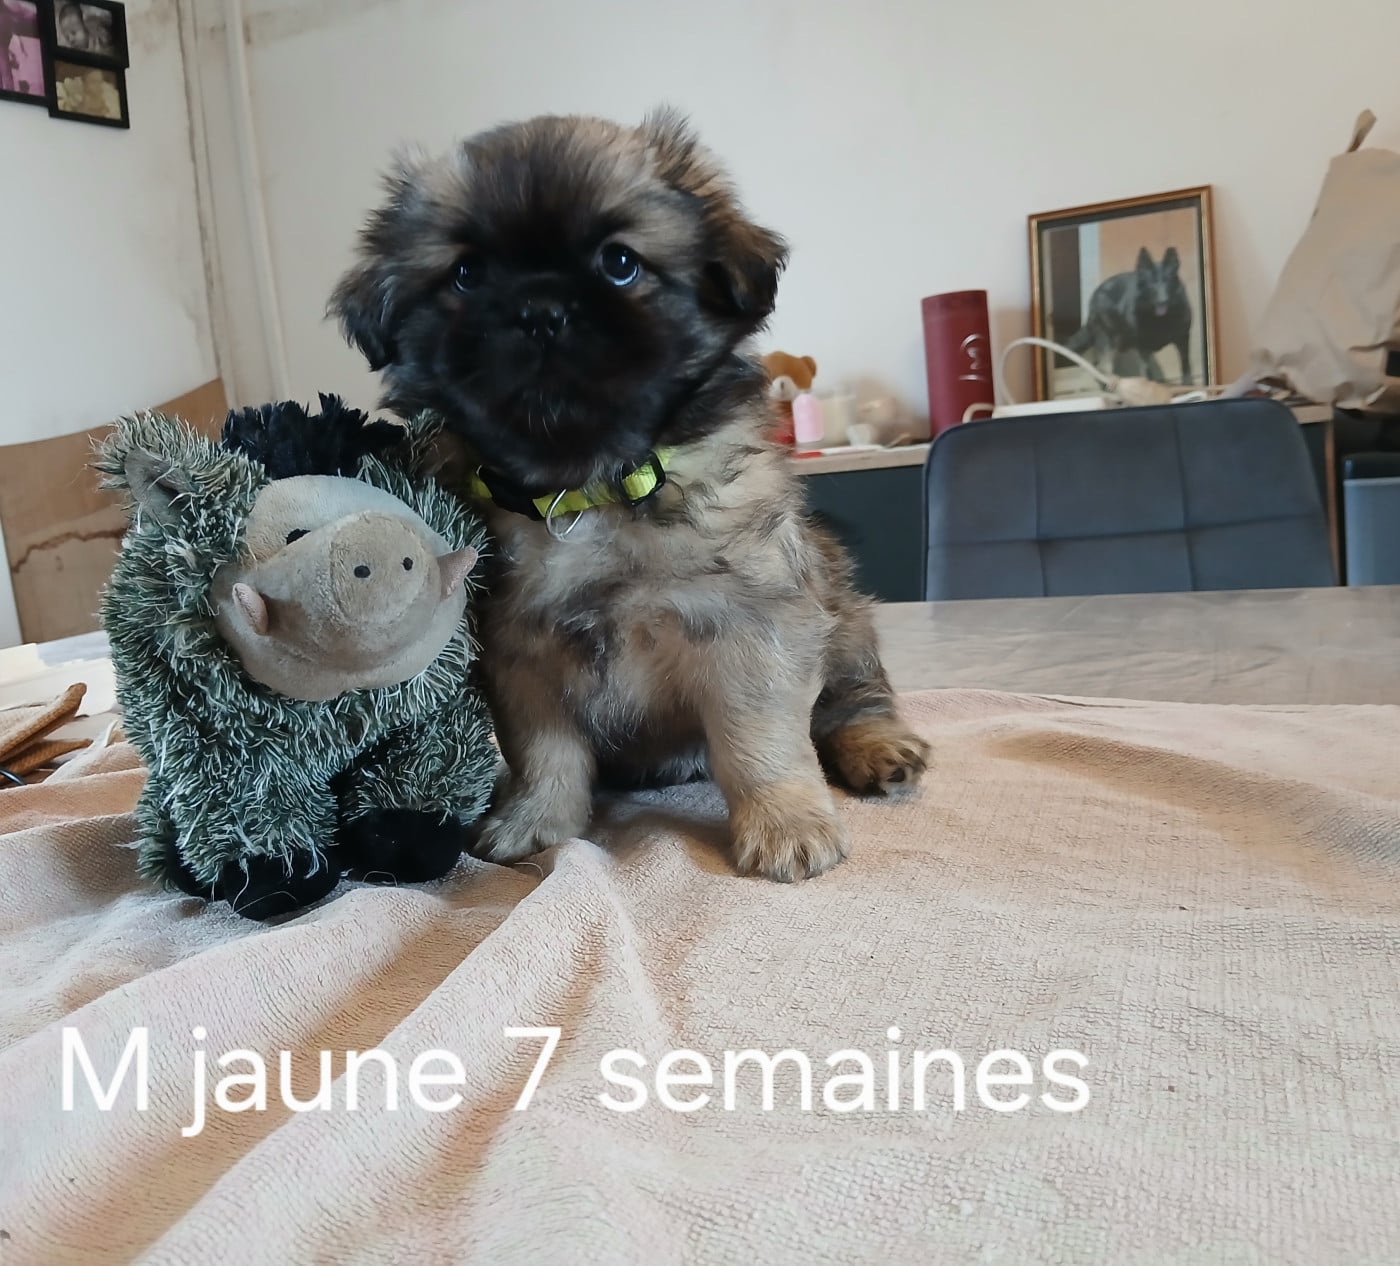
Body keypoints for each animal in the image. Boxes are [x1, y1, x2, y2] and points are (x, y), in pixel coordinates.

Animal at [328, 109, 929, 882]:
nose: (540, 309)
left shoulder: (748, 630)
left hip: (845, 624)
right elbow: (544, 753)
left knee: (854, 704)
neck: (585, 491)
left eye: (620, 263)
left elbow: (759, 742)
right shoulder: (522, 659)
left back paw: (880, 751)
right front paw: (535, 821)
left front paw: (785, 824)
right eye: (466, 274)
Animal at [1067, 246, 1193, 384]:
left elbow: (1186, 365)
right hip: (1110, 339)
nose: (1163, 301)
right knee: (1104, 365)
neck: (1161, 318)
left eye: (1168, 280)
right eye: (1151, 283)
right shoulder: (1144, 347)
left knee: (1099, 365)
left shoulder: (1183, 339)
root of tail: (1096, 292)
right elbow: (1146, 371)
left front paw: (1188, 384)